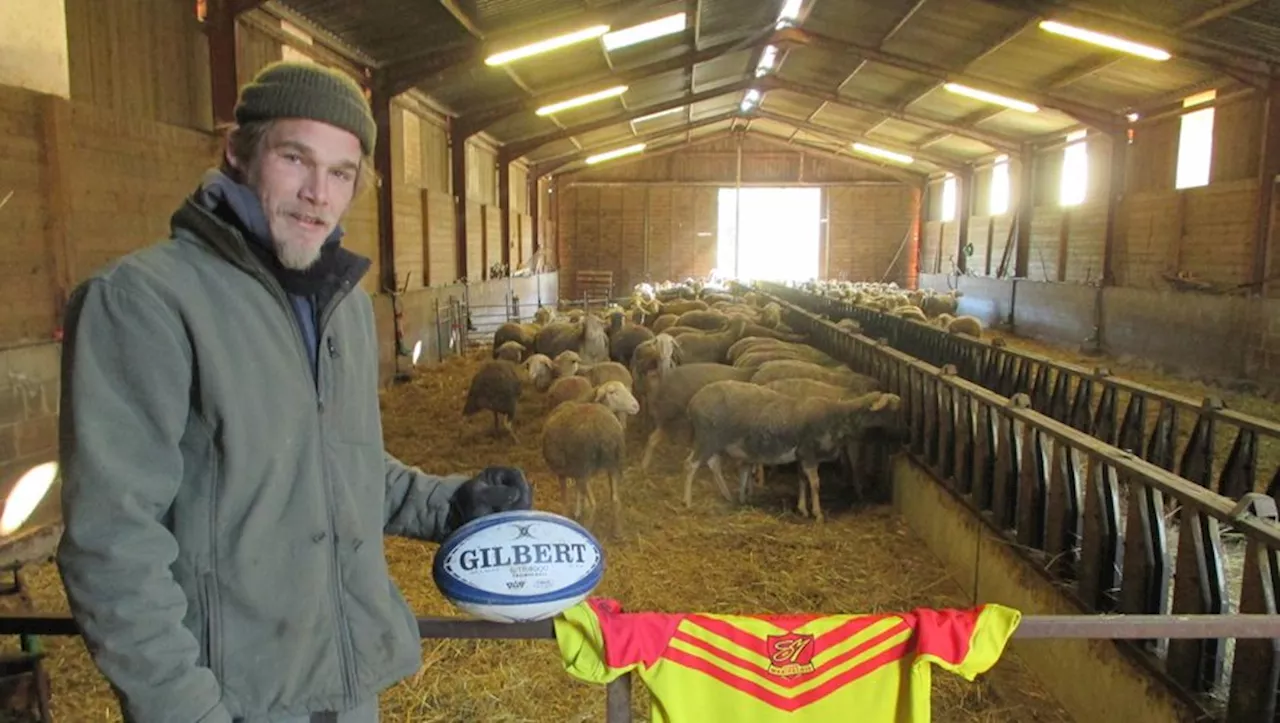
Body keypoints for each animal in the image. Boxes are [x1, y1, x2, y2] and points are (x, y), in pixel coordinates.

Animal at [540, 378, 640, 529]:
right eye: (612, 392)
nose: (636, 406)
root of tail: (607, 434)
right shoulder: (575, 471)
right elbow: (576, 493)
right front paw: (577, 512)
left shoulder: (564, 472)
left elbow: (565, 498)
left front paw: (567, 515)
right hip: (612, 465)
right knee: (615, 500)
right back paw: (617, 531)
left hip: (585, 469)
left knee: (592, 505)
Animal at [686, 386, 906, 522]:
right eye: (890, 411)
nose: (903, 435)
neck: (837, 416)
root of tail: (694, 401)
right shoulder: (809, 453)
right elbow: (815, 484)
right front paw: (818, 514)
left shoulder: (802, 455)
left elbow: (802, 480)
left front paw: (803, 508)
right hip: (707, 438)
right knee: (691, 465)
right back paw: (687, 501)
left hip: (714, 442)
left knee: (713, 464)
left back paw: (728, 496)